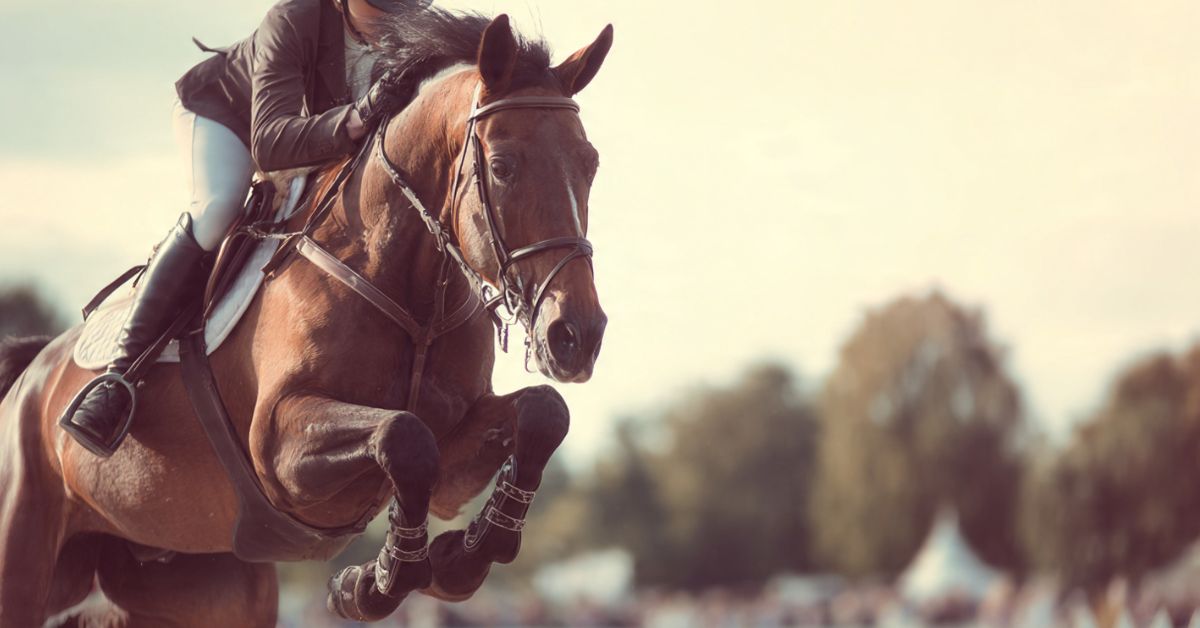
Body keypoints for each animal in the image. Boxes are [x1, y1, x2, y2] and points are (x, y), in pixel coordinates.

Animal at [0, 10, 612, 626]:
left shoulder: (456, 452)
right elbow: (403, 435)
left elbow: (542, 413)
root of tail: (30, 377)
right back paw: (102, 404)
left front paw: (458, 558)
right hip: (23, 557)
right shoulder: (278, 449)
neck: (406, 289)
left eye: (591, 164)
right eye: (503, 167)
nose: (576, 336)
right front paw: (379, 582)